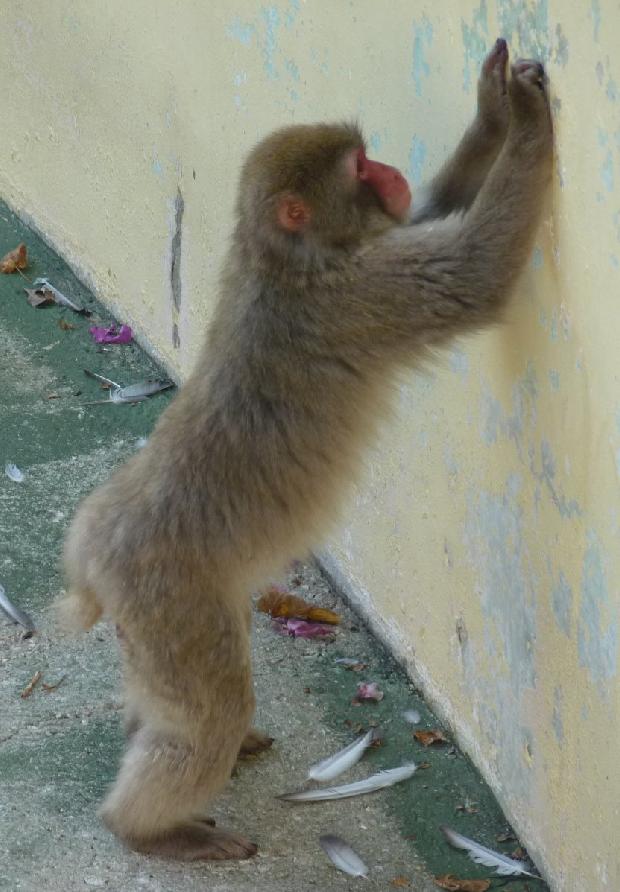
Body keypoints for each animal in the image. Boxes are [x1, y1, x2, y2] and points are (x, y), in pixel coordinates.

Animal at [58, 39, 552, 861]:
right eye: (358, 166)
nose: (389, 169)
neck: (284, 256)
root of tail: (94, 546)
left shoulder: (364, 255)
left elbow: (431, 215)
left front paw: (490, 112)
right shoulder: (358, 296)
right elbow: (472, 271)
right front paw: (528, 122)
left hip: (153, 622)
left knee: (171, 712)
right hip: (174, 606)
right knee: (207, 715)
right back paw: (149, 830)